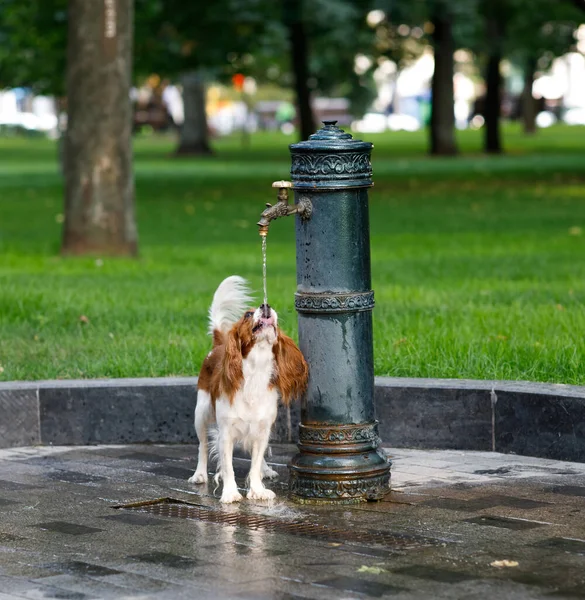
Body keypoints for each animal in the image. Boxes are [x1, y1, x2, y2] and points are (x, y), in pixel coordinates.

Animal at [188, 276, 308, 502]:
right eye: (248, 314)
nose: (266, 306)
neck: (256, 370)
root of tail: (219, 344)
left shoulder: (262, 430)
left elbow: (254, 464)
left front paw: (257, 490)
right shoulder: (225, 433)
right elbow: (227, 467)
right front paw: (230, 493)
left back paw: (265, 470)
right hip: (201, 411)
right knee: (202, 445)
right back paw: (199, 474)